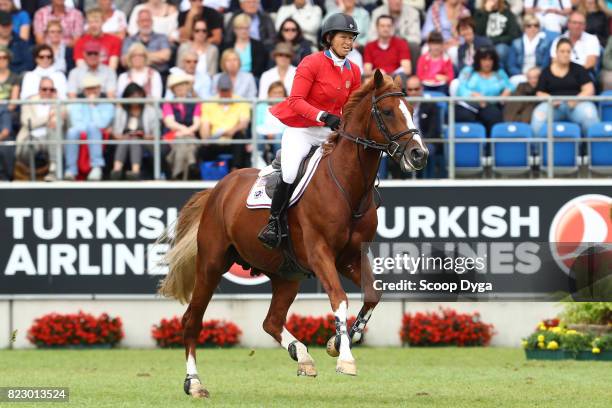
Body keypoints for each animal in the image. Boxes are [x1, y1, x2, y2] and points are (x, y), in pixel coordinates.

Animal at [158, 71, 426, 398]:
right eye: (387, 112)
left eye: (410, 110)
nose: (420, 154)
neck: (347, 186)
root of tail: (219, 189)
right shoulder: (320, 253)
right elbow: (339, 299)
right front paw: (346, 358)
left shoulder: (349, 256)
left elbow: (373, 295)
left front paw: (338, 342)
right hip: (211, 264)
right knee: (192, 320)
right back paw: (194, 383)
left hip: (286, 274)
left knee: (271, 321)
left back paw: (302, 355)